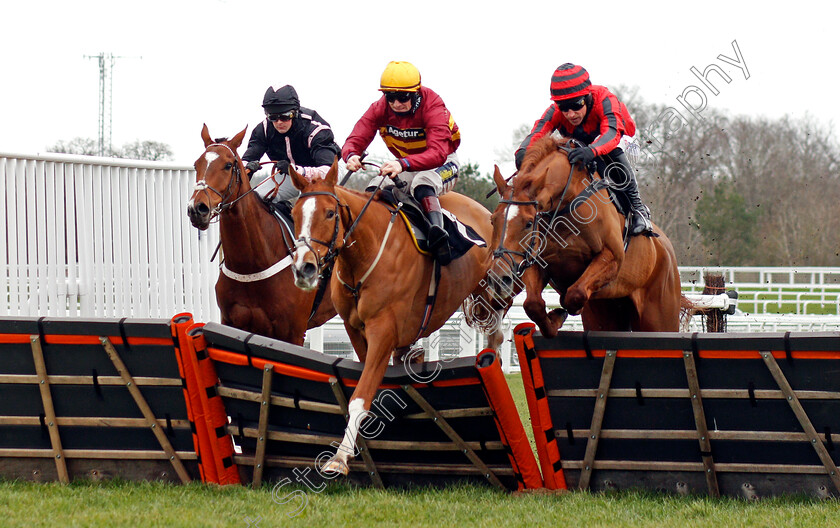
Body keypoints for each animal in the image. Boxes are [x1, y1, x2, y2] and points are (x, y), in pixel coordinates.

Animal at [188, 126, 338, 344]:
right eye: (196, 164)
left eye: (227, 165)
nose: (197, 209)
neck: (251, 265)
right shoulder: (230, 322)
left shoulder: (294, 332)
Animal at [286, 161, 508, 474]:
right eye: (294, 214)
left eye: (329, 213)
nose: (303, 268)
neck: (365, 255)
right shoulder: (355, 330)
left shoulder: (384, 330)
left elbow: (360, 396)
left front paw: (339, 458)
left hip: (490, 291)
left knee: (496, 331)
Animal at [488, 136, 684, 334]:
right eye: (493, 220)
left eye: (529, 223)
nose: (499, 279)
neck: (566, 201)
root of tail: (667, 249)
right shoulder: (532, 258)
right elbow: (533, 304)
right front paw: (555, 318)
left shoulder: (612, 257)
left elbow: (575, 294)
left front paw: (562, 311)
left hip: (659, 317)